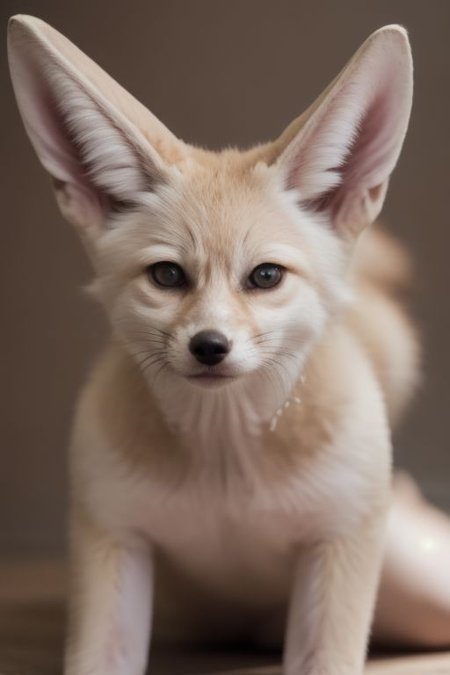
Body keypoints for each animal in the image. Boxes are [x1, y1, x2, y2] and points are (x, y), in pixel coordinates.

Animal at [8, 15, 422, 675]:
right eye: (168, 276)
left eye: (265, 276)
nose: (210, 346)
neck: (226, 465)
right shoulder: (109, 536)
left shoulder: (340, 545)